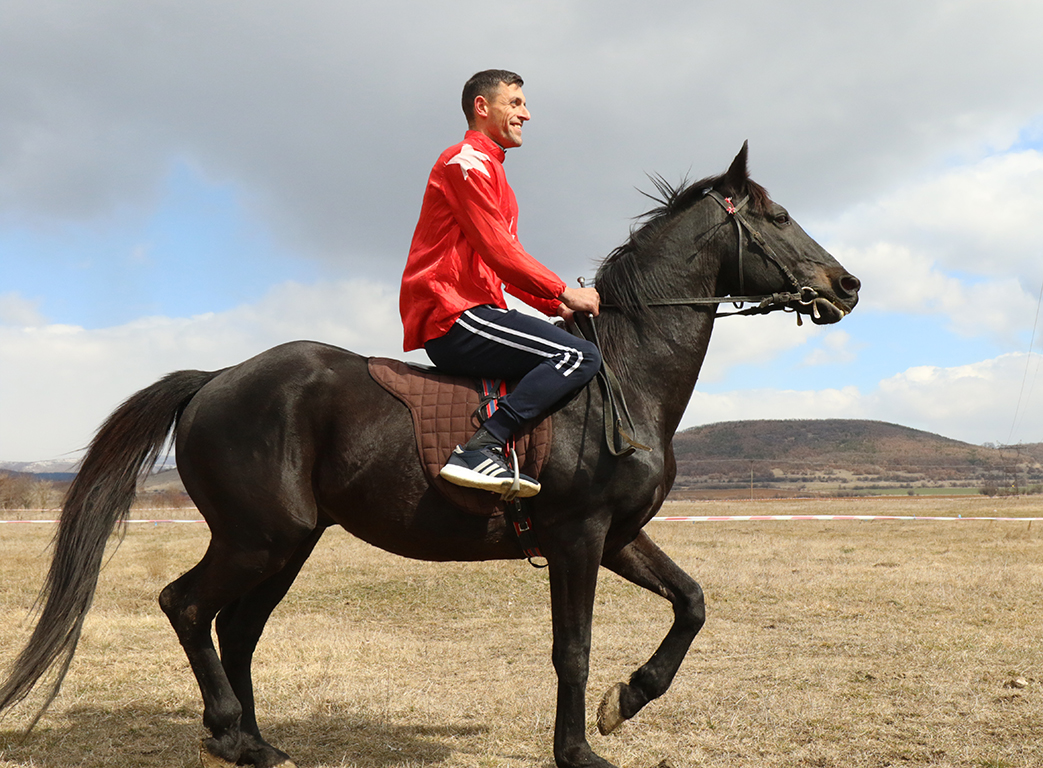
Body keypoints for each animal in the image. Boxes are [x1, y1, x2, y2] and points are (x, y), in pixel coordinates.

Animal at [0, 145, 859, 768]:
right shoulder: (577, 537)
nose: (846, 284)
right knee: (185, 606)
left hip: (286, 544)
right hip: (258, 538)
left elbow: (691, 602)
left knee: (235, 631)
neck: (622, 373)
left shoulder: (618, 537)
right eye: (779, 216)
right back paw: (227, 729)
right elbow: (572, 649)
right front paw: (578, 751)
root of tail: (217, 378)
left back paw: (253, 742)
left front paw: (627, 701)